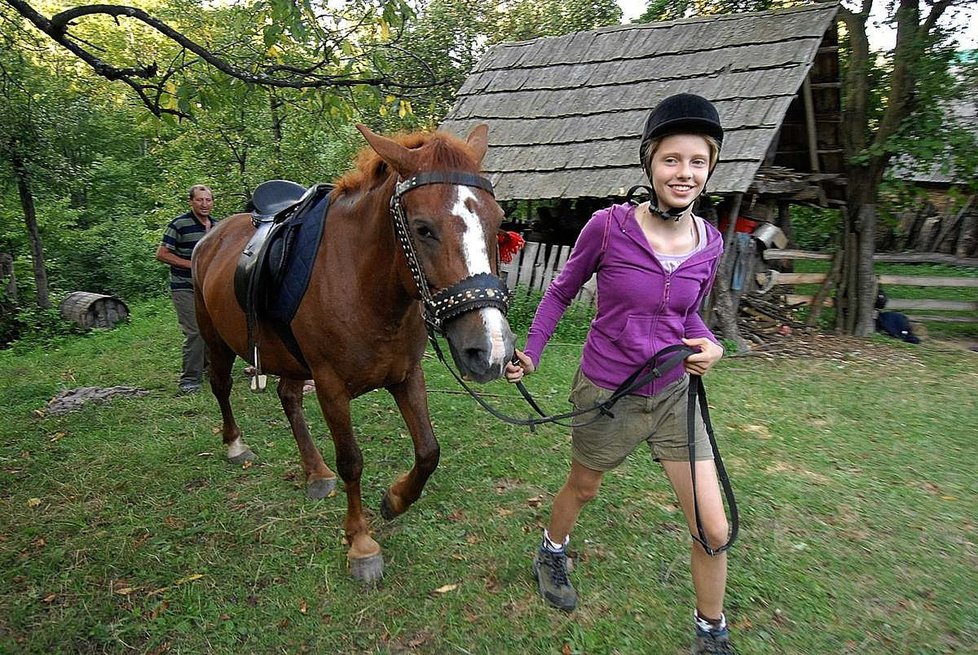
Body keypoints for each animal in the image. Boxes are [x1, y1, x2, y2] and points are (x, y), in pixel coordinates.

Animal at [189, 124, 510, 584]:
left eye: (498, 223)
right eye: (423, 228)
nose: (491, 350)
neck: (365, 285)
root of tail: (210, 237)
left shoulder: (407, 375)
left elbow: (429, 451)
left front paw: (395, 499)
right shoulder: (330, 387)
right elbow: (352, 462)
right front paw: (360, 543)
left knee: (288, 397)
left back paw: (315, 472)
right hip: (215, 338)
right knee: (220, 385)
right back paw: (235, 445)